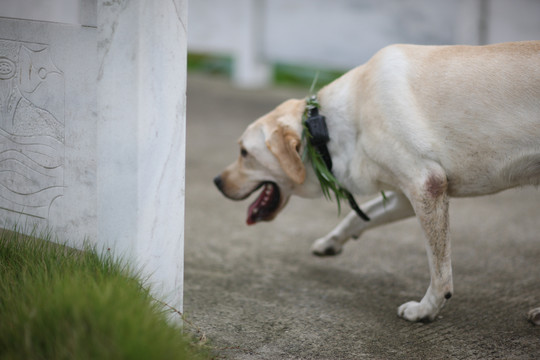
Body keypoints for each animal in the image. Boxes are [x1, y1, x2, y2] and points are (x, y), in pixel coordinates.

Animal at [215, 41, 540, 324]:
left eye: (244, 153)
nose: (216, 181)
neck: (326, 127)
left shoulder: (426, 185)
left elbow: (439, 269)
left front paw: (426, 310)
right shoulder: (406, 197)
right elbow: (357, 218)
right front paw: (330, 242)